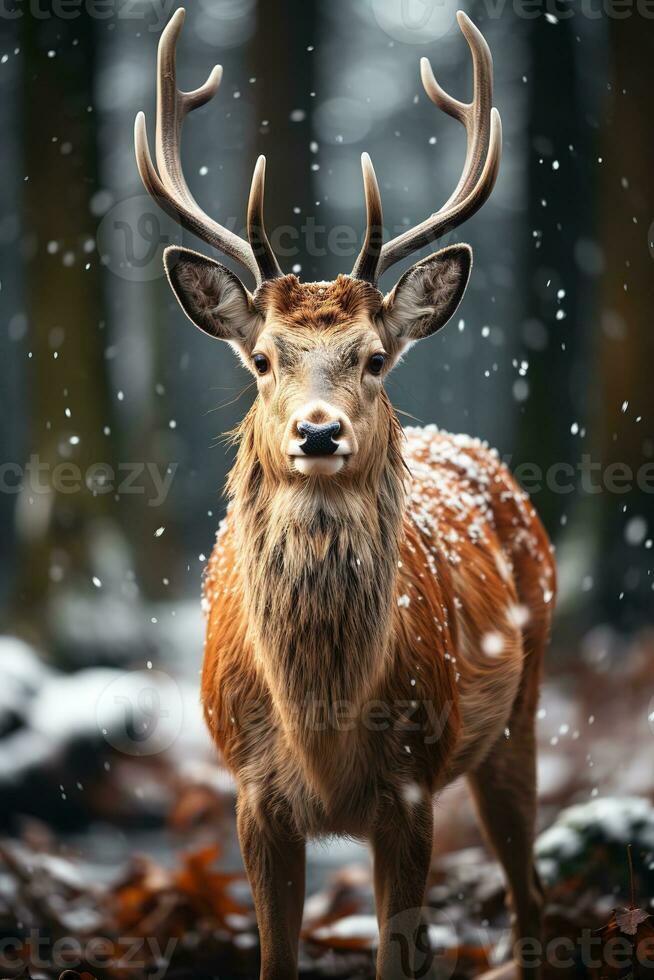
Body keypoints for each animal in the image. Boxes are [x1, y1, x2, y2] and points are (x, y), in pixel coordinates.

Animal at [136, 9, 556, 980]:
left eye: (373, 356)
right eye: (262, 359)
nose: (320, 434)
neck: (321, 729)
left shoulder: (412, 782)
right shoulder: (250, 789)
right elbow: (277, 957)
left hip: (520, 708)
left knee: (529, 892)